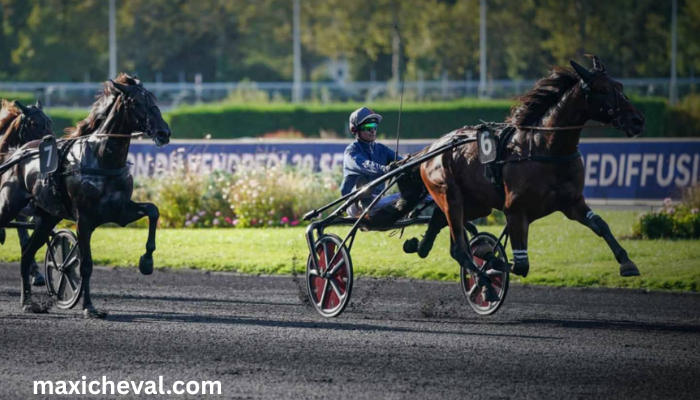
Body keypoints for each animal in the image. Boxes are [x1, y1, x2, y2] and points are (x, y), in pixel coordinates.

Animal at [400, 55, 644, 300]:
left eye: (620, 86)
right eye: (602, 90)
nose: (637, 120)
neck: (545, 148)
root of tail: (433, 147)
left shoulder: (572, 202)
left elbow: (600, 224)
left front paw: (627, 262)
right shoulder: (515, 210)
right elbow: (520, 265)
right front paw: (489, 258)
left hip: (476, 204)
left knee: (441, 224)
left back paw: (420, 246)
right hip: (450, 197)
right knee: (460, 248)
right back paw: (484, 282)